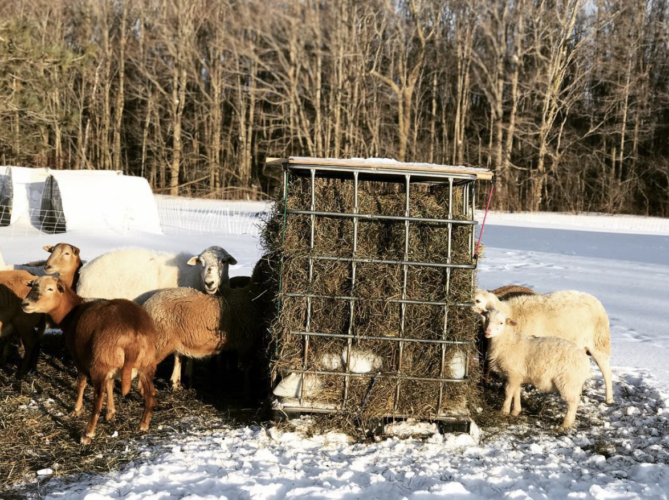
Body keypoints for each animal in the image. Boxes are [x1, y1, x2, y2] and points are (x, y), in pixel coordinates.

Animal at [21, 276, 158, 444]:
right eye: (32, 286)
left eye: (50, 289)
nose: (25, 304)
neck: (70, 313)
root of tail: (134, 335)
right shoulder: (110, 366)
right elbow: (110, 384)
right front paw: (111, 412)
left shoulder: (79, 357)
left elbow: (81, 383)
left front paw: (76, 409)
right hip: (145, 364)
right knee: (151, 392)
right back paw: (143, 424)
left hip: (100, 364)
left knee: (98, 398)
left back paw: (87, 434)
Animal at [482, 292, 612, 404]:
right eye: (487, 317)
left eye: (478, 301)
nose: (486, 331)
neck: (512, 312)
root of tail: (596, 301)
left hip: (598, 343)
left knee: (607, 371)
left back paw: (609, 398)